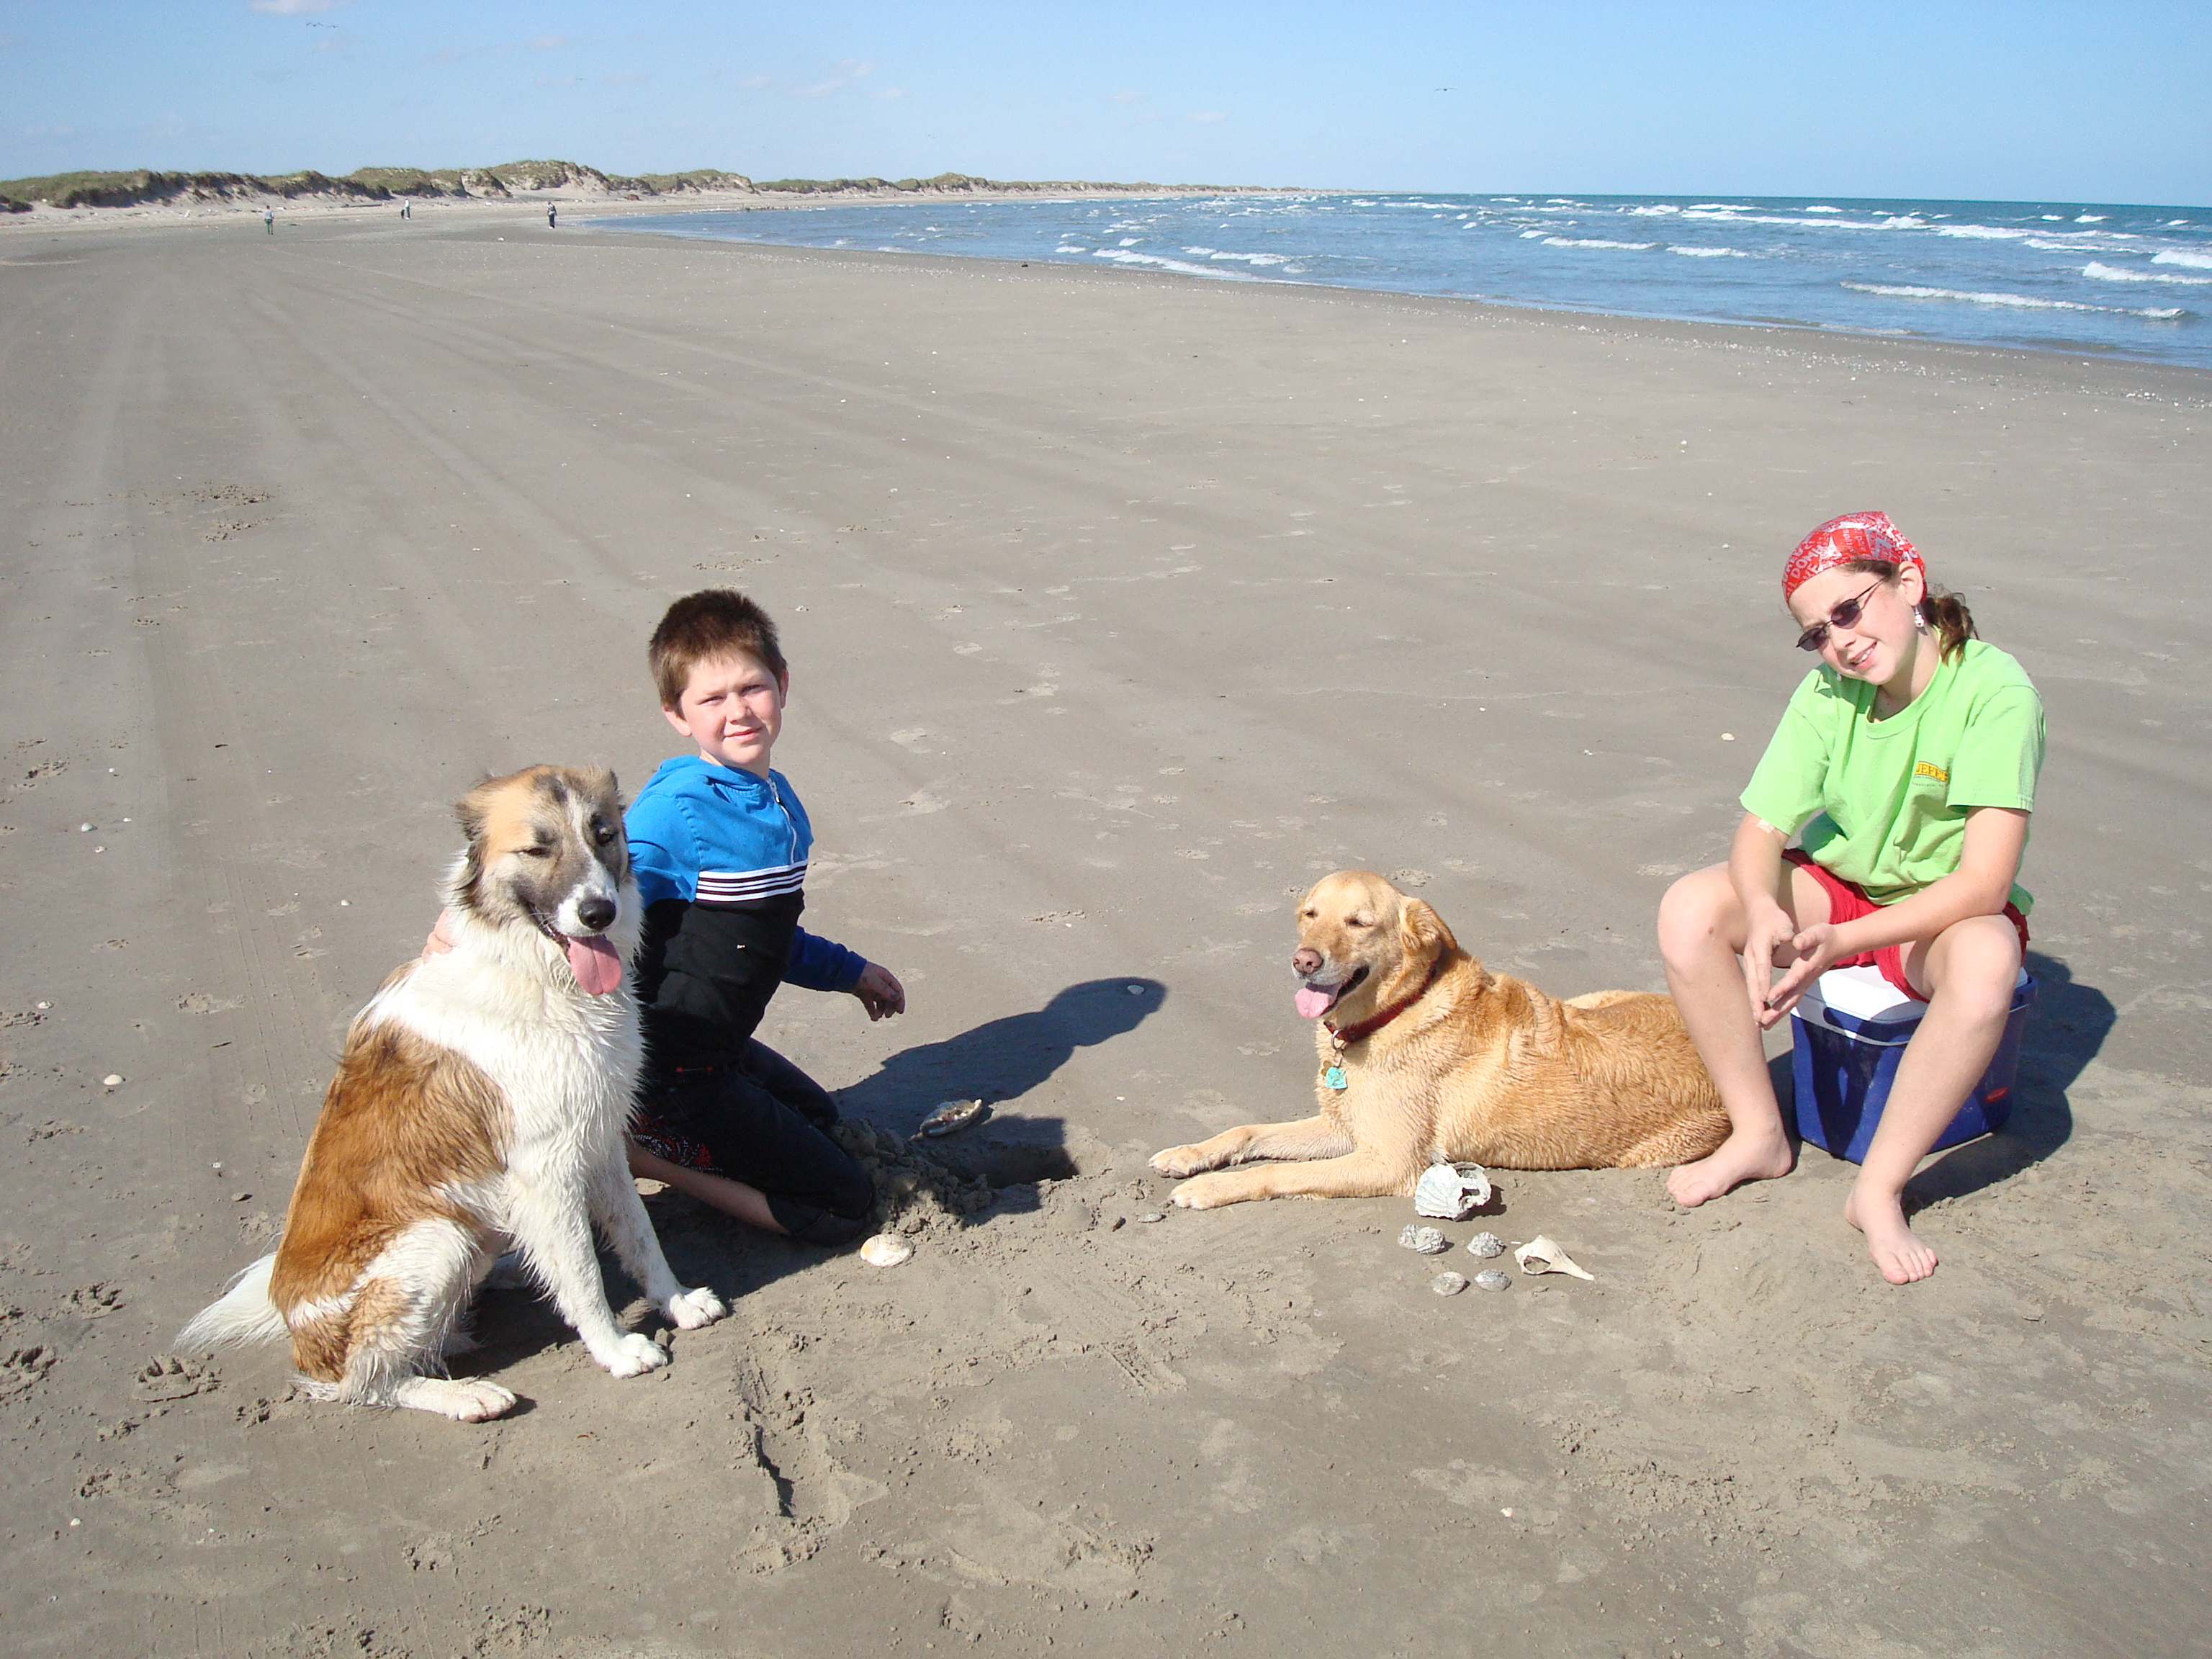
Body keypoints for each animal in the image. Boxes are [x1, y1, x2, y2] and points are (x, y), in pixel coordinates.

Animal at [179, 764, 727, 1421]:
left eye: (604, 836)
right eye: (537, 849)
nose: (598, 911)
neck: (538, 975)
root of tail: (288, 1315)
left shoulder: (599, 1141)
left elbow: (639, 1235)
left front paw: (676, 1300)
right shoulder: (544, 1167)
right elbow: (583, 1274)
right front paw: (616, 1350)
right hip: (435, 1239)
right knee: (366, 1381)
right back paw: (467, 1395)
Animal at [1151, 869, 1728, 1207]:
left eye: (1359, 923)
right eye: (1310, 914)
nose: (1304, 962)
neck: (1394, 1012)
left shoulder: (1389, 1161)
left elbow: (1274, 1173)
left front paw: (1210, 1187)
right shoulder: (1344, 1128)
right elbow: (1246, 1132)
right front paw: (1188, 1154)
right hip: (1593, 999)